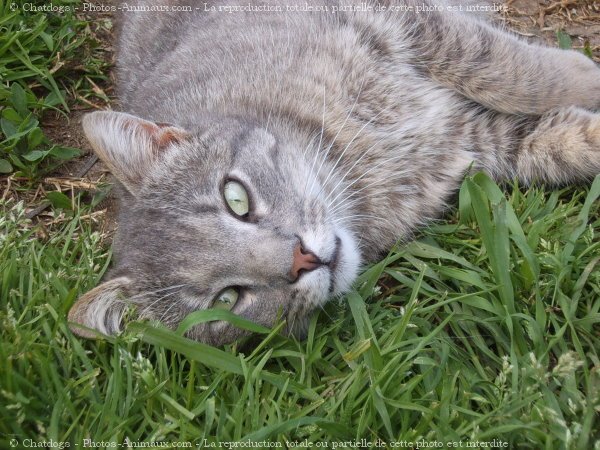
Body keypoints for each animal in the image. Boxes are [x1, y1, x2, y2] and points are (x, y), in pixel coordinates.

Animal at [68, 0, 600, 346]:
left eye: (235, 198)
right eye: (228, 298)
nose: (303, 260)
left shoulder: (402, 21)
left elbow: (515, 71)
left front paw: (587, 76)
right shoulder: (473, 144)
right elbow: (557, 142)